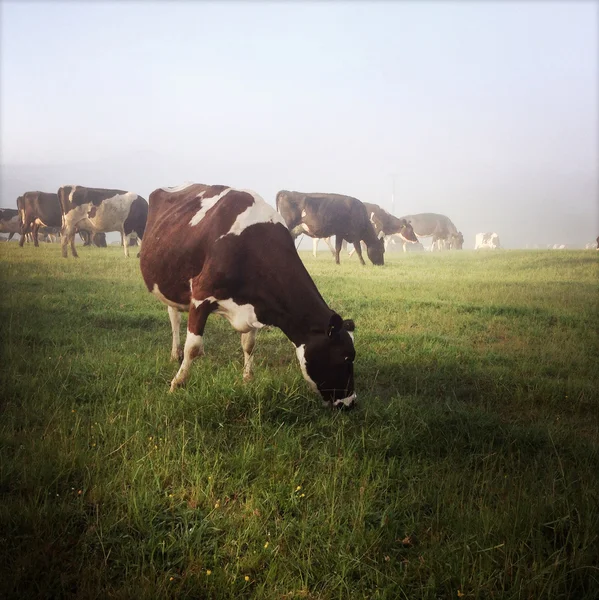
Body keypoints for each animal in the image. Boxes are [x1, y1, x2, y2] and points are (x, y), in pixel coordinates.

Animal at [139, 183, 356, 408]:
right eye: (346, 357)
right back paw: (175, 354)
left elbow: (249, 345)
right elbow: (192, 347)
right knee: (175, 319)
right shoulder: (201, 295)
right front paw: (177, 384)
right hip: (168, 284)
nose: (350, 402)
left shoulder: (256, 304)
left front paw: (247, 378)